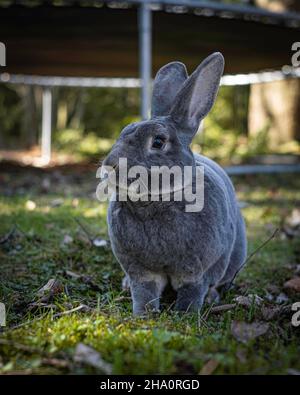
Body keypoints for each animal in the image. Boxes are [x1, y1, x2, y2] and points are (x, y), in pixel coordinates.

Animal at [102, 52, 247, 318]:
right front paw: (143, 314)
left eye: (158, 142)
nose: (110, 166)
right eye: (123, 132)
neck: (156, 202)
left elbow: (192, 291)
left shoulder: (196, 272)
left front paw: (186, 314)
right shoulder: (140, 271)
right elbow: (144, 291)